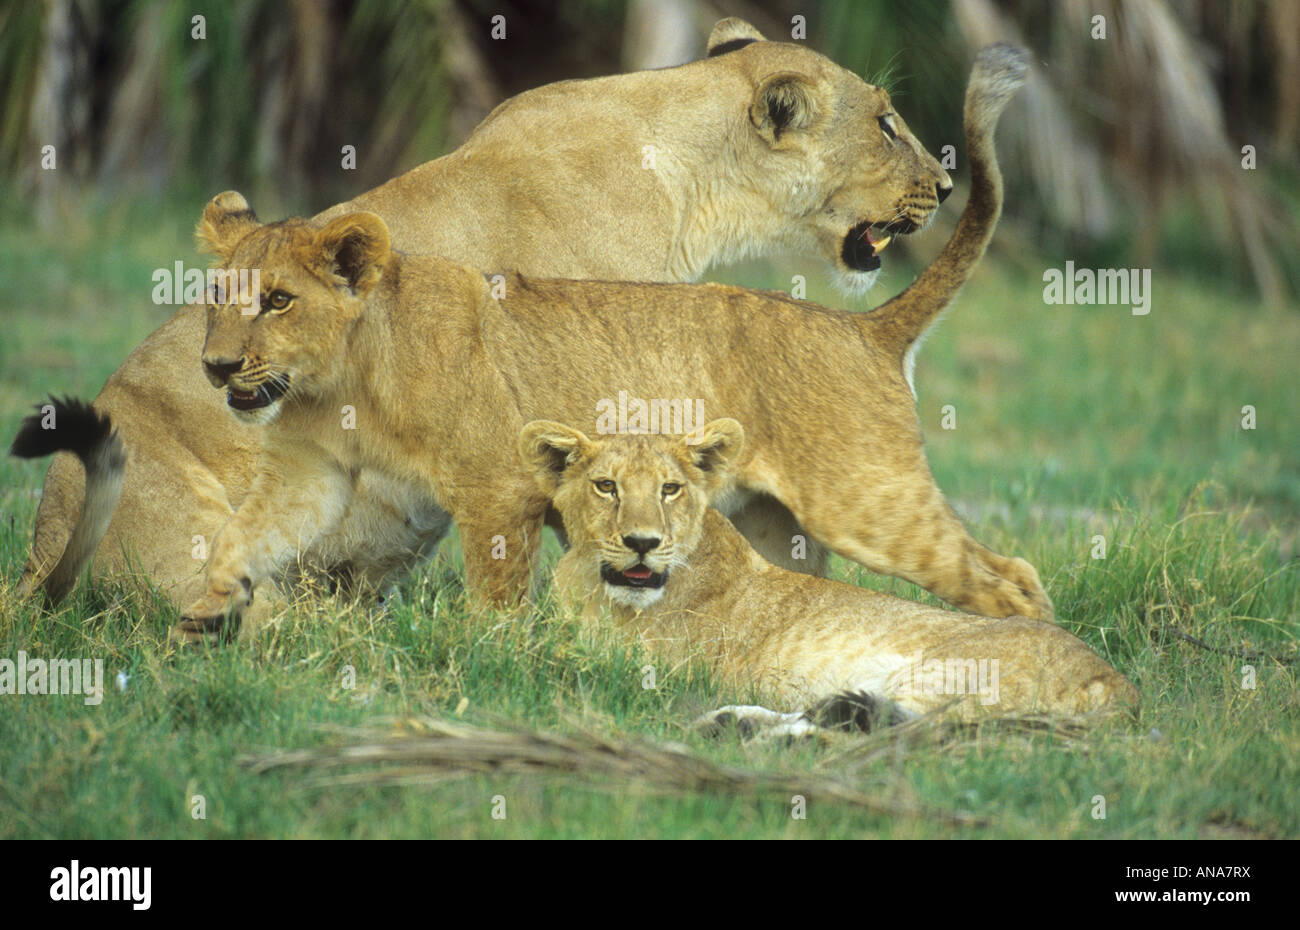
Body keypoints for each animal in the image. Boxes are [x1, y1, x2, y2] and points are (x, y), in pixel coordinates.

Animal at [521, 420, 1138, 734]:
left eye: (670, 489)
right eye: (606, 486)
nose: (643, 543)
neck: (593, 582)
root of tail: (1118, 682)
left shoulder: (648, 669)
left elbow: (558, 656)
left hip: (943, 672)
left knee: (896, 727)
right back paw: (731, 722)